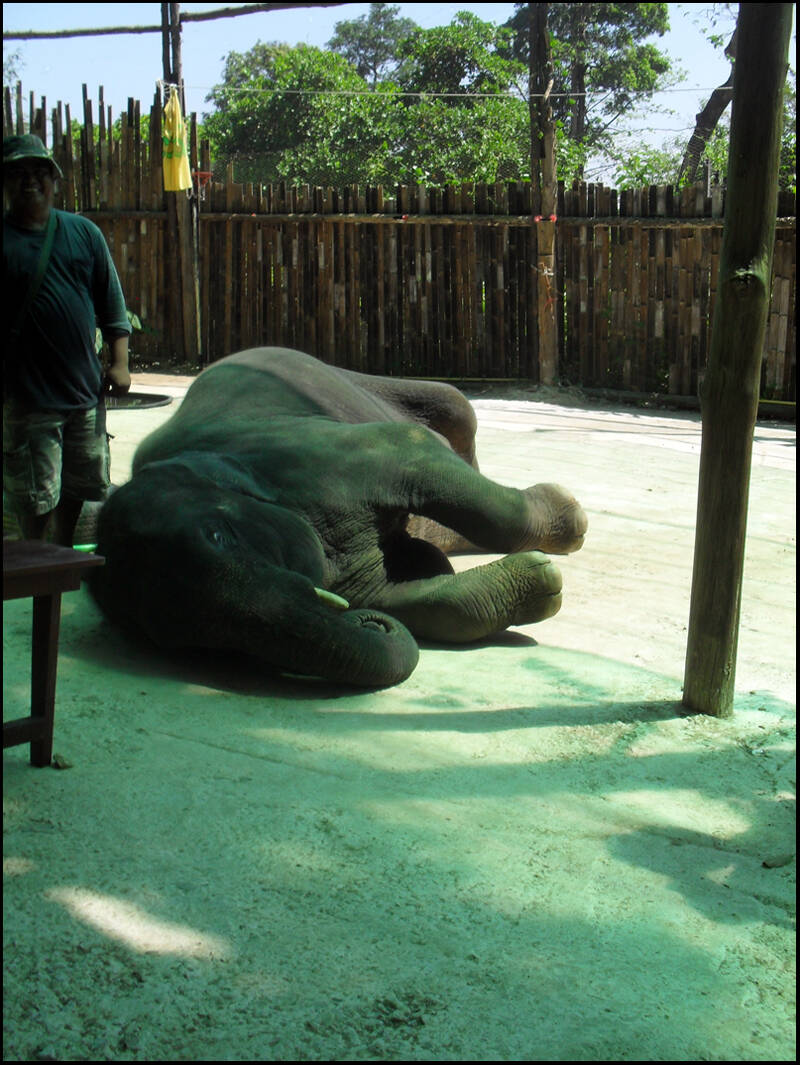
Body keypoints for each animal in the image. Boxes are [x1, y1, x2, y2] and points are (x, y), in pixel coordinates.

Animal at [88, 347, 587, 688]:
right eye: (201, 646)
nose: (365, 623)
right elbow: (404, 597)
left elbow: (420, 456)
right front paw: (540, 581)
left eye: (218, 535)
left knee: (456, 413)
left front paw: (567, 522)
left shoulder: (322, 455)